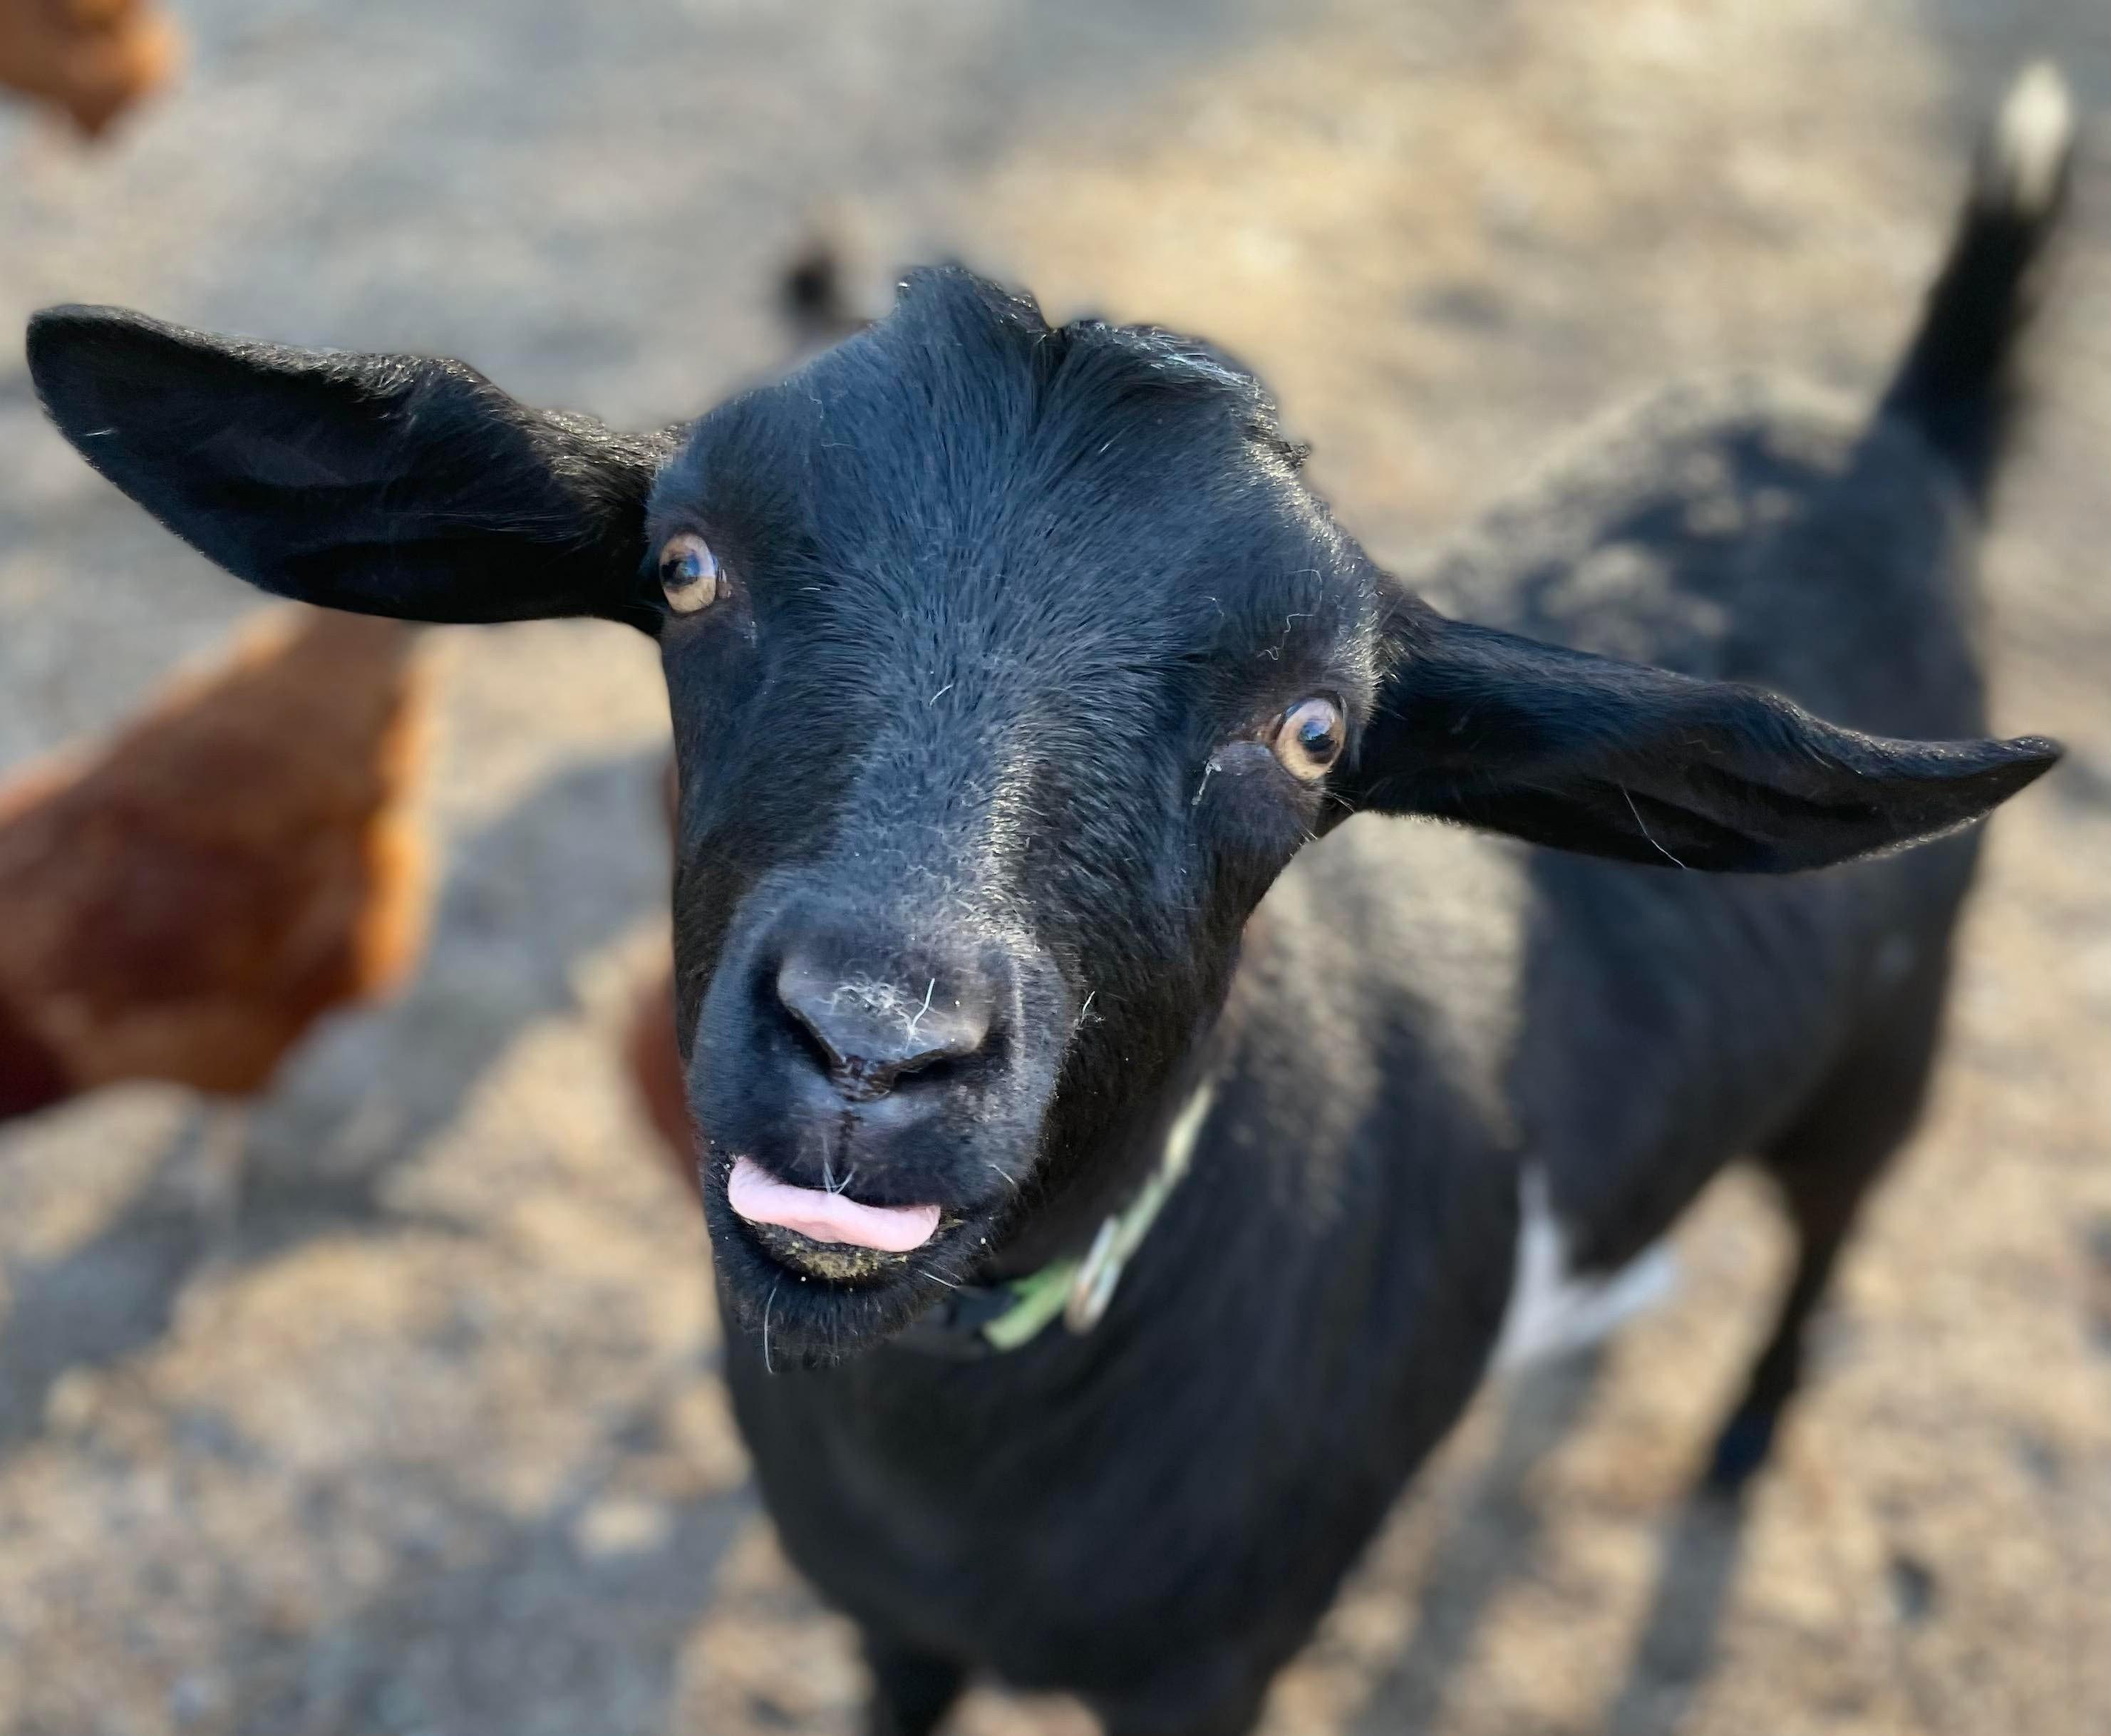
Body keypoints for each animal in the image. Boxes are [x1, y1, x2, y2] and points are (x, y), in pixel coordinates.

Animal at [29, 58, 2077, 1736]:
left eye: (1314, 733)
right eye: (683, 570)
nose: (872, 1044)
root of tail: (1900, 429)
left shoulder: (1214, 1667)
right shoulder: (886, 1625)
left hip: (1894, 1034)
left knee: (1832, 1223)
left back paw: (1738, 1439)